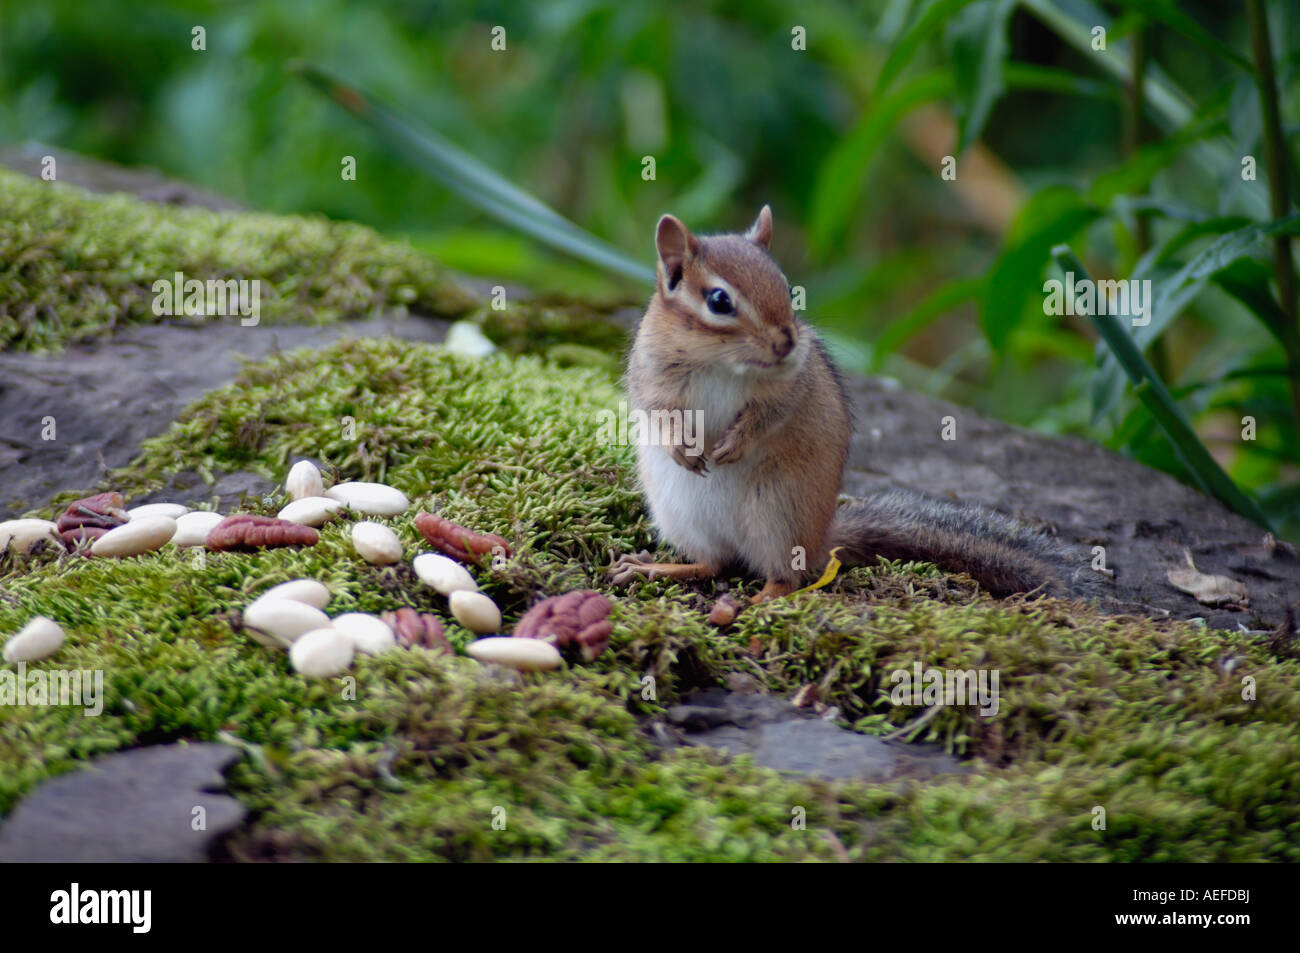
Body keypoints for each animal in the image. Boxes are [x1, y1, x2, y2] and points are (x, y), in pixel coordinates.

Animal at [609, 205, 1107, 604]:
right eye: (718, 300)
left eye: (785, 287)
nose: (788, 343)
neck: (723, 362)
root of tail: (820, 537)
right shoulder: (652, 378)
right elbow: (660, 412)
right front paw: (682, 446)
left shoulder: (789, 389)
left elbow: (770, 416)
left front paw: (735, 444)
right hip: (681, 516)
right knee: (713, 563)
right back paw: (656, 567)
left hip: (777, 515)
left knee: (785, 577)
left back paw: (757, 599)